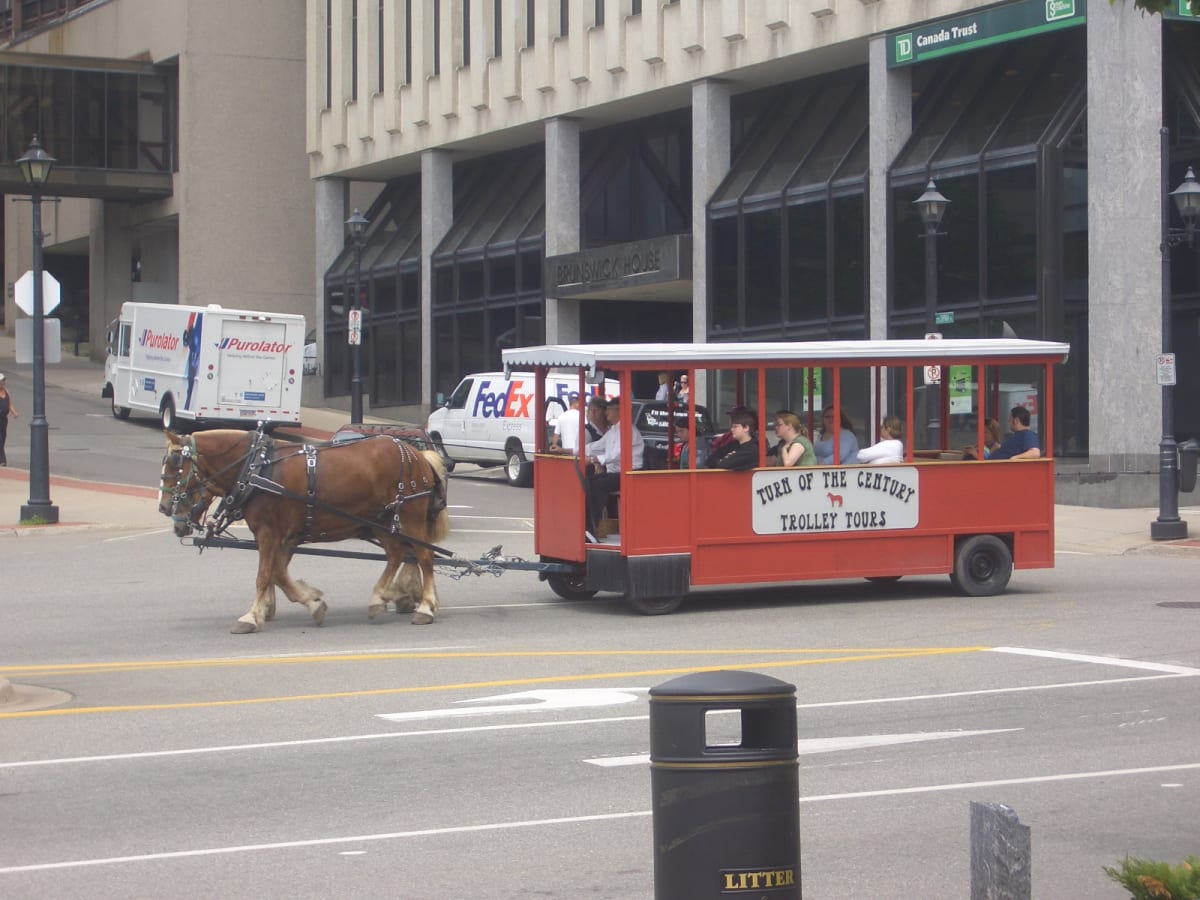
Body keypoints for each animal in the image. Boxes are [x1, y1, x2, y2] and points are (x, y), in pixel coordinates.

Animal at [159, 429, 451, 633]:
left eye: (175, 462)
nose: (163, 508)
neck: (256, 469)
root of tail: (418, 455)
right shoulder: (284, 537)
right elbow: (278, 573)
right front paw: (310, 602)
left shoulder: (270, 532)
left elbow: (265, 575)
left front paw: (251, 617)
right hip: (384, 521)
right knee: (397, 554)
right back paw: (382, 597)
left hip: (409, 516)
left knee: (423, 557)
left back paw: (425, 607)